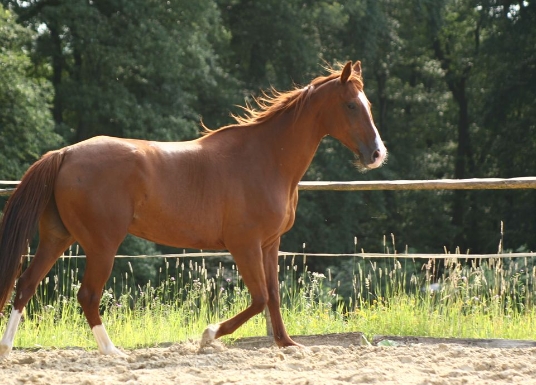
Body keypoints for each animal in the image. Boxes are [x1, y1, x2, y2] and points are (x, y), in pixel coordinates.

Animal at [0, 60, 386, 356]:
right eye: (351, 105)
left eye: (368, 105)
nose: (376, 154)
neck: (265, 159)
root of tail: (64, 153)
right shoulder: (244, 245)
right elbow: (260, 298)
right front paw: (208, 336)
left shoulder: (269, 244)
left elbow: (274, 296)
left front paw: (287, 344)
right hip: (101, 245)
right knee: (88, 295)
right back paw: (113, 352)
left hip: (58, 237)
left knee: (26, 285)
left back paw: (7, 348)